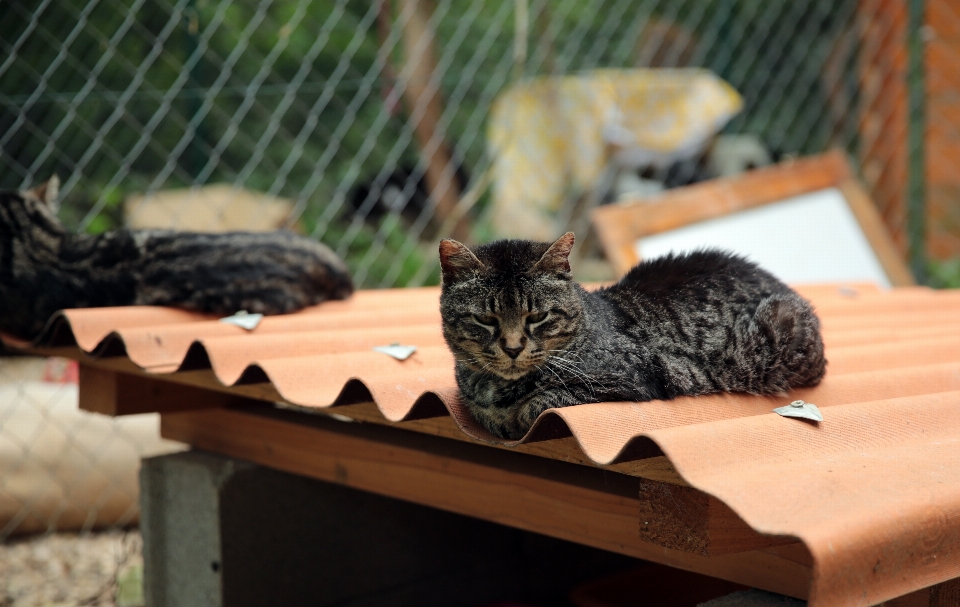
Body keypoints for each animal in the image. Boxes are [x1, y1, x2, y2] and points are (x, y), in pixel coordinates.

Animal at [440, 230, 824, 440]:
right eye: (485, 320)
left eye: (537, 317)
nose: (512, 347)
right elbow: (482, 410)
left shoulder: (626, 382)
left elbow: (540, 402)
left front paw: (517, 415)